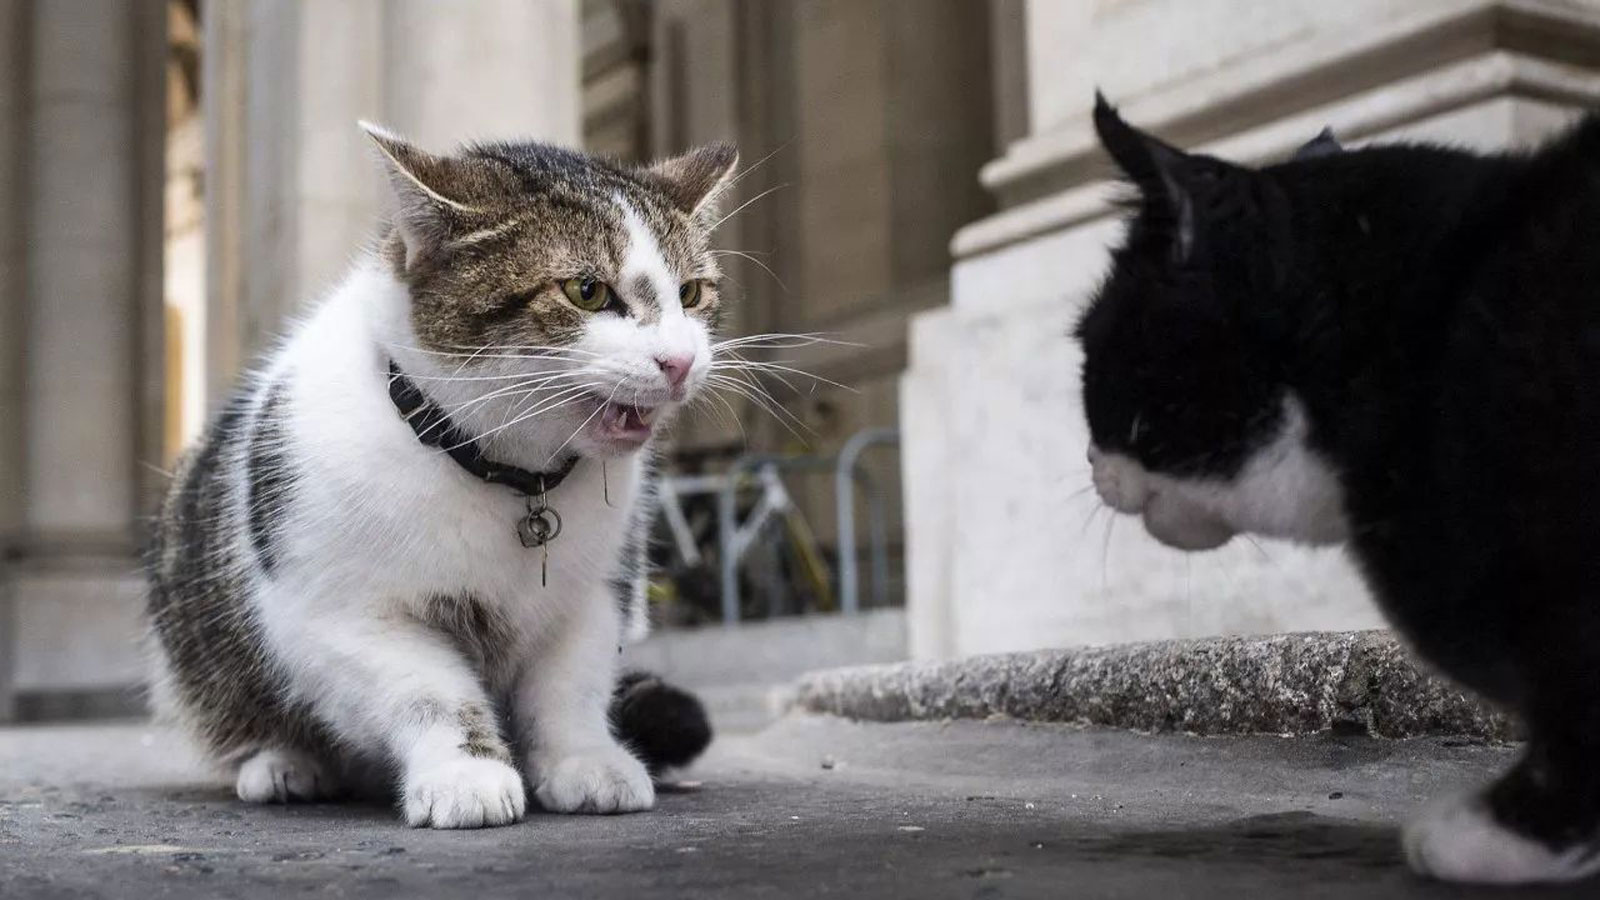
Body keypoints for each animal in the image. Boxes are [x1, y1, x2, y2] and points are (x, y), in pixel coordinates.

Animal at [144, 124, 732, 826]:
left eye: (691, 294)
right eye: (586, 291)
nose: (679, 361)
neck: (508, 477)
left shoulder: (595, 594)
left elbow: (570, 688)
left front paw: (585, 761)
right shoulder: (342, 613)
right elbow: (431, 693)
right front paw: (467, 774)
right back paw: (284, 764)